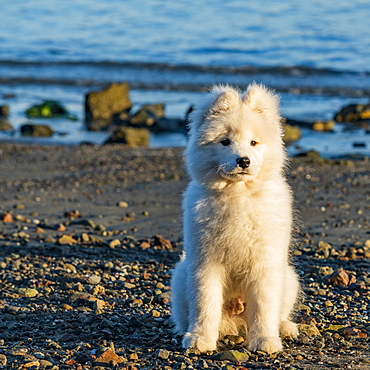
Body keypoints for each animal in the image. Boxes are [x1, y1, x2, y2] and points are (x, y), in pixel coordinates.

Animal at [172, 83, 300, 352]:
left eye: (253, 142)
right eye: (225, 142)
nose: (243, 160)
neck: (239, 195)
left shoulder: (265, 263)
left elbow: (264, 307)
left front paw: (265, 341)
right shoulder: (206, 262)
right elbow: (205, 303)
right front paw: (200, 340)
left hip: (290, 278)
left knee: (279, 313)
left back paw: (285, 328)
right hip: (180, 276)